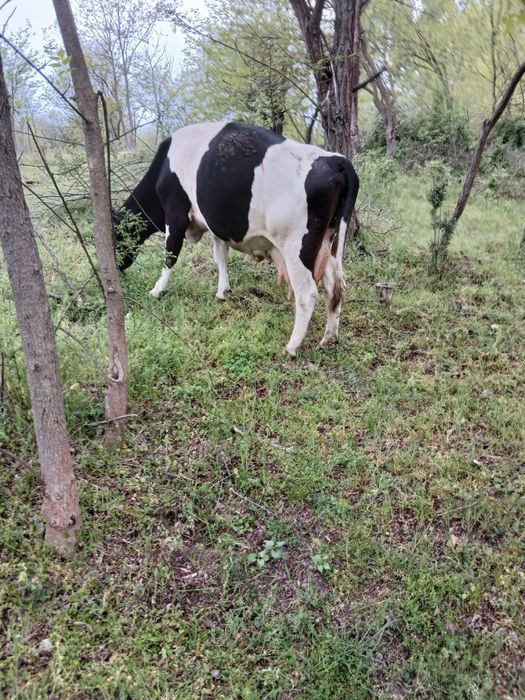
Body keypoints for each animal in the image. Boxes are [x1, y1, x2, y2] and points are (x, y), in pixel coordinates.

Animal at [114, 122, 359, 356]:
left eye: (116, 237)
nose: (116, 269)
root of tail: (336, 160)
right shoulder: (215, 225)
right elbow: (220, 256)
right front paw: (223, 291)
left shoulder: (175, 213)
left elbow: (170, 254)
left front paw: (157, 290)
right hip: (331, 242)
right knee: (335, 286)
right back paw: (329, 338)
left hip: (296, 246)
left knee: (307, 292)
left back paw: (291, 347)